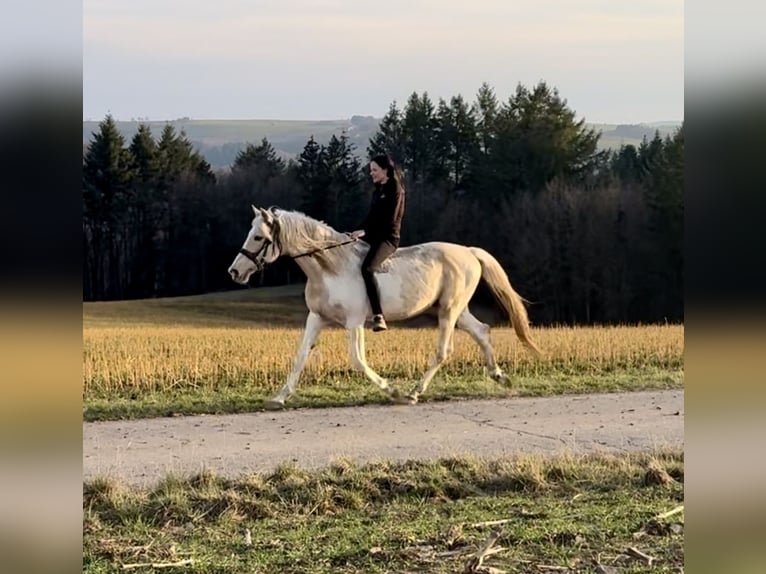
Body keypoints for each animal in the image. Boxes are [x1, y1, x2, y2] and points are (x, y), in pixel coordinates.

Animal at [228, 207, 540, 410]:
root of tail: (469, 252)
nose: (234, 272)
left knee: (444, 350)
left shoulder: (354, 322)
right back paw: (499, 376)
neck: (329, 268)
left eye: (258, 237)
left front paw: (393, 391)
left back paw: (414, 393)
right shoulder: (316, 318)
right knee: (482, 331)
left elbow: (357, 360)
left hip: (449, 311)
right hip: (454, 310)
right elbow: (300, 356)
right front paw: (279, 397)